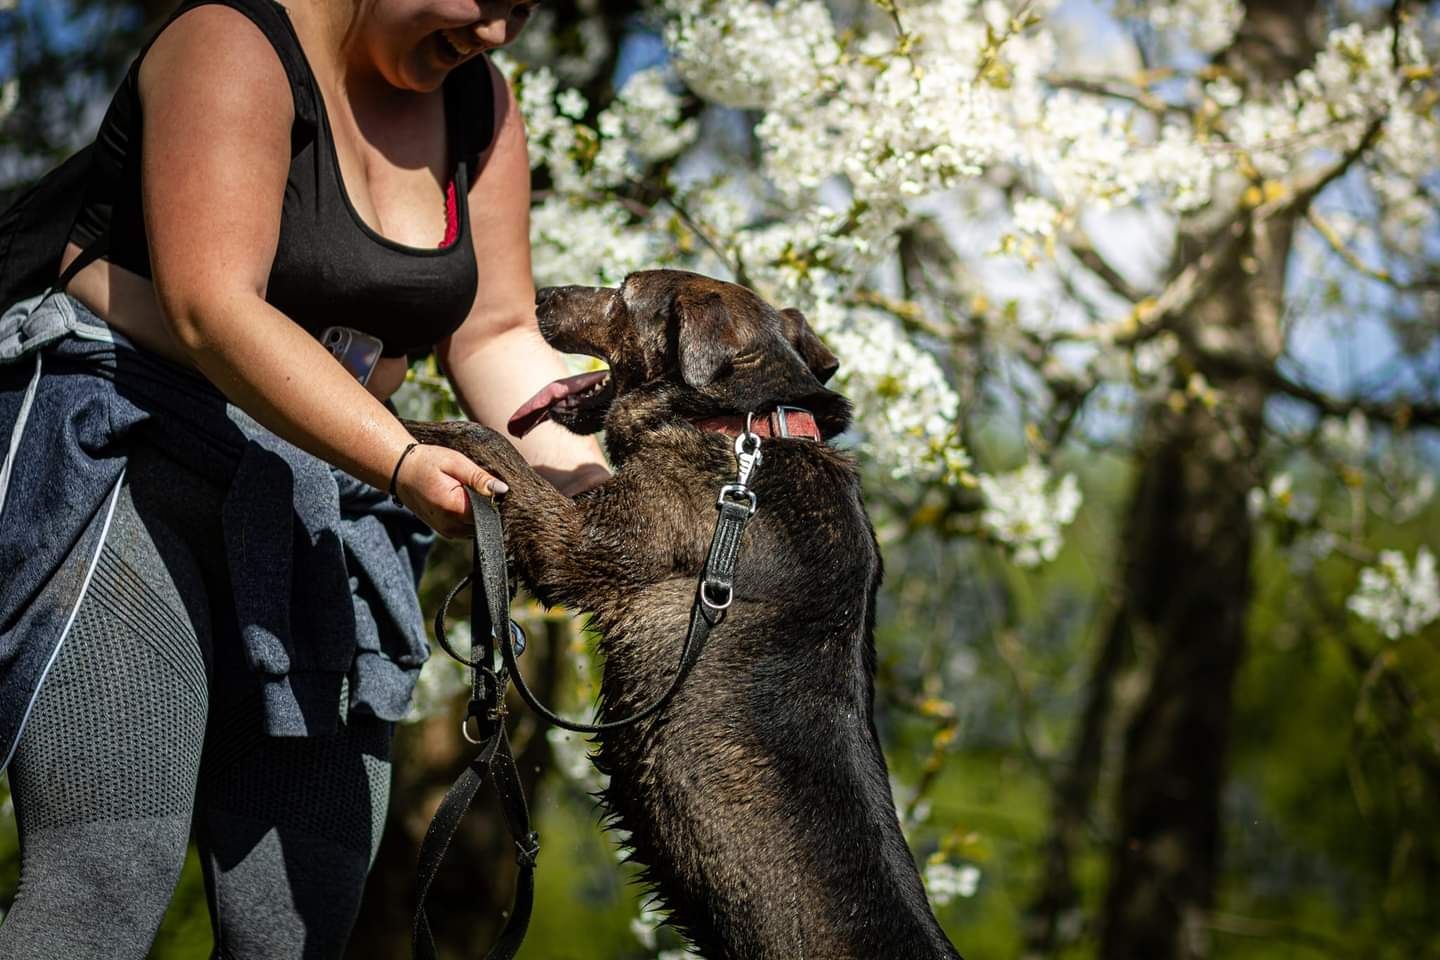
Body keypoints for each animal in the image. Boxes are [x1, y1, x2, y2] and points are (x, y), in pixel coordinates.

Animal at [406, 270, 967, 960]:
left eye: (623, 292)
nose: (538, 294)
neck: (749, 431)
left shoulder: (577, 542)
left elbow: (491, 447)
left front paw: (420, 427)